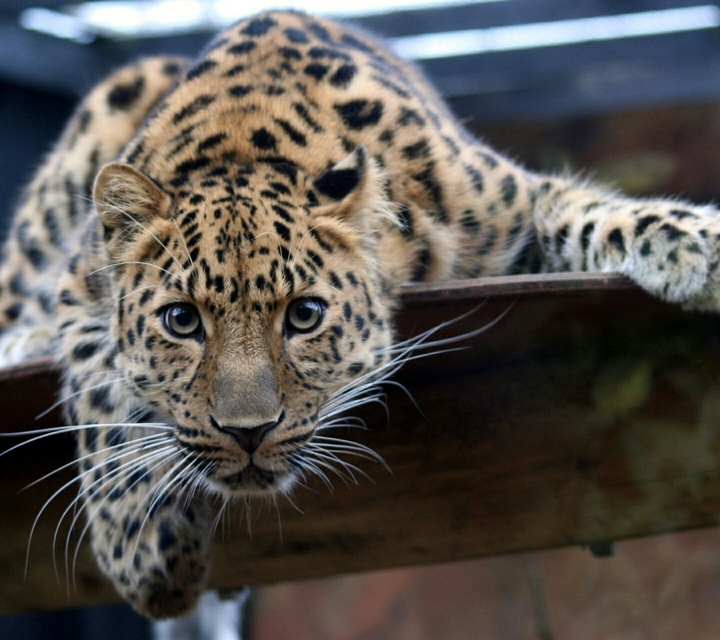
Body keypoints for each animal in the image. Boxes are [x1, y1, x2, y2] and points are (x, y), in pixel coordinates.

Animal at [1, 10, 719, 620]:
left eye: (305, 315)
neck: (241, 142)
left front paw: (696, 242)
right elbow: (102, 401)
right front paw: (145, 554)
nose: (247, 433)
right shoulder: (79, 283)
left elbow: (589, 210)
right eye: (181, 321)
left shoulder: (513, 206)